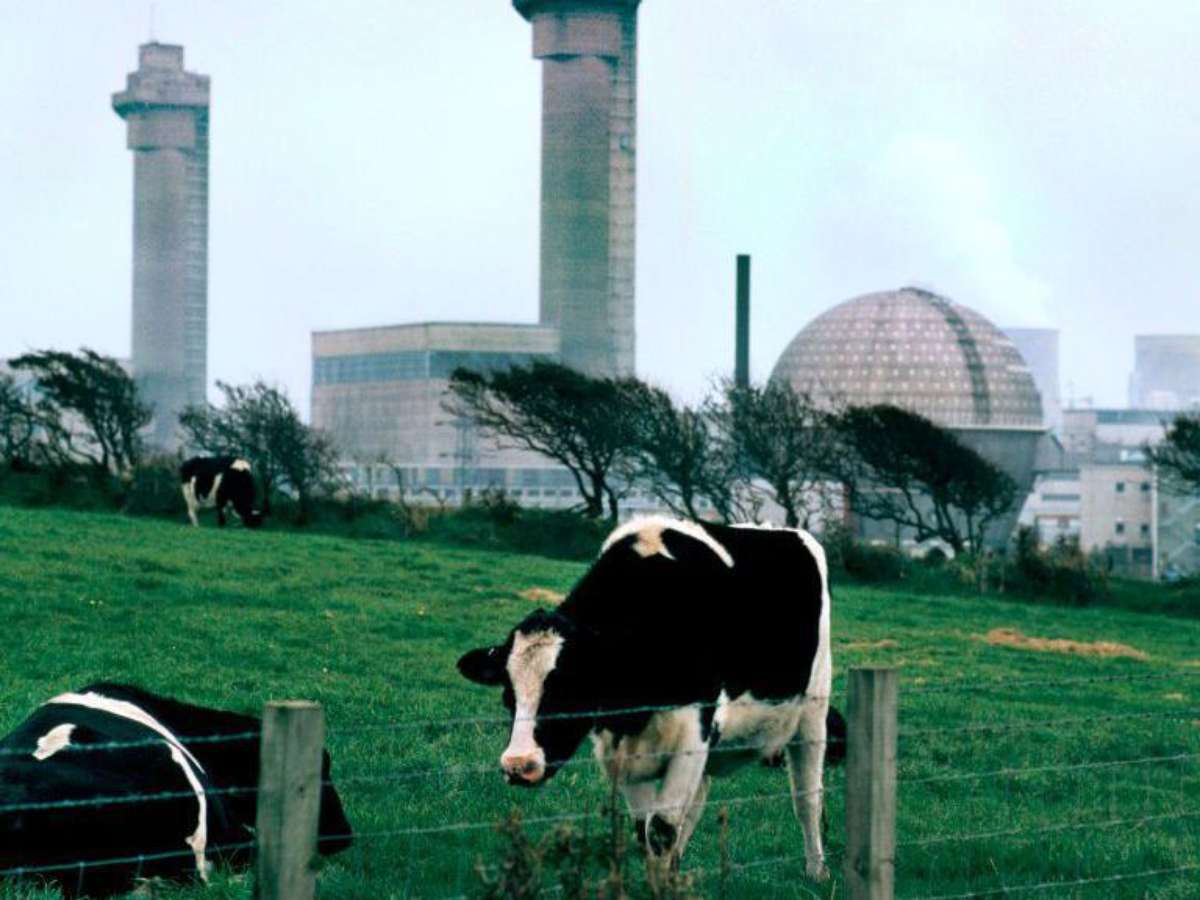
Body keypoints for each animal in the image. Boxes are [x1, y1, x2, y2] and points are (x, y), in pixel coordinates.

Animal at [457, 516, 843, 881]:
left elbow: (660, 828)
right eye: (508, 698)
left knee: (808, 797)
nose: (518, 764)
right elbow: (644, 830)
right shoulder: (621, 748)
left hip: (813, 712)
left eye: (567, 693)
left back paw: (817, 870)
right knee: (697, 802)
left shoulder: (693, 732)